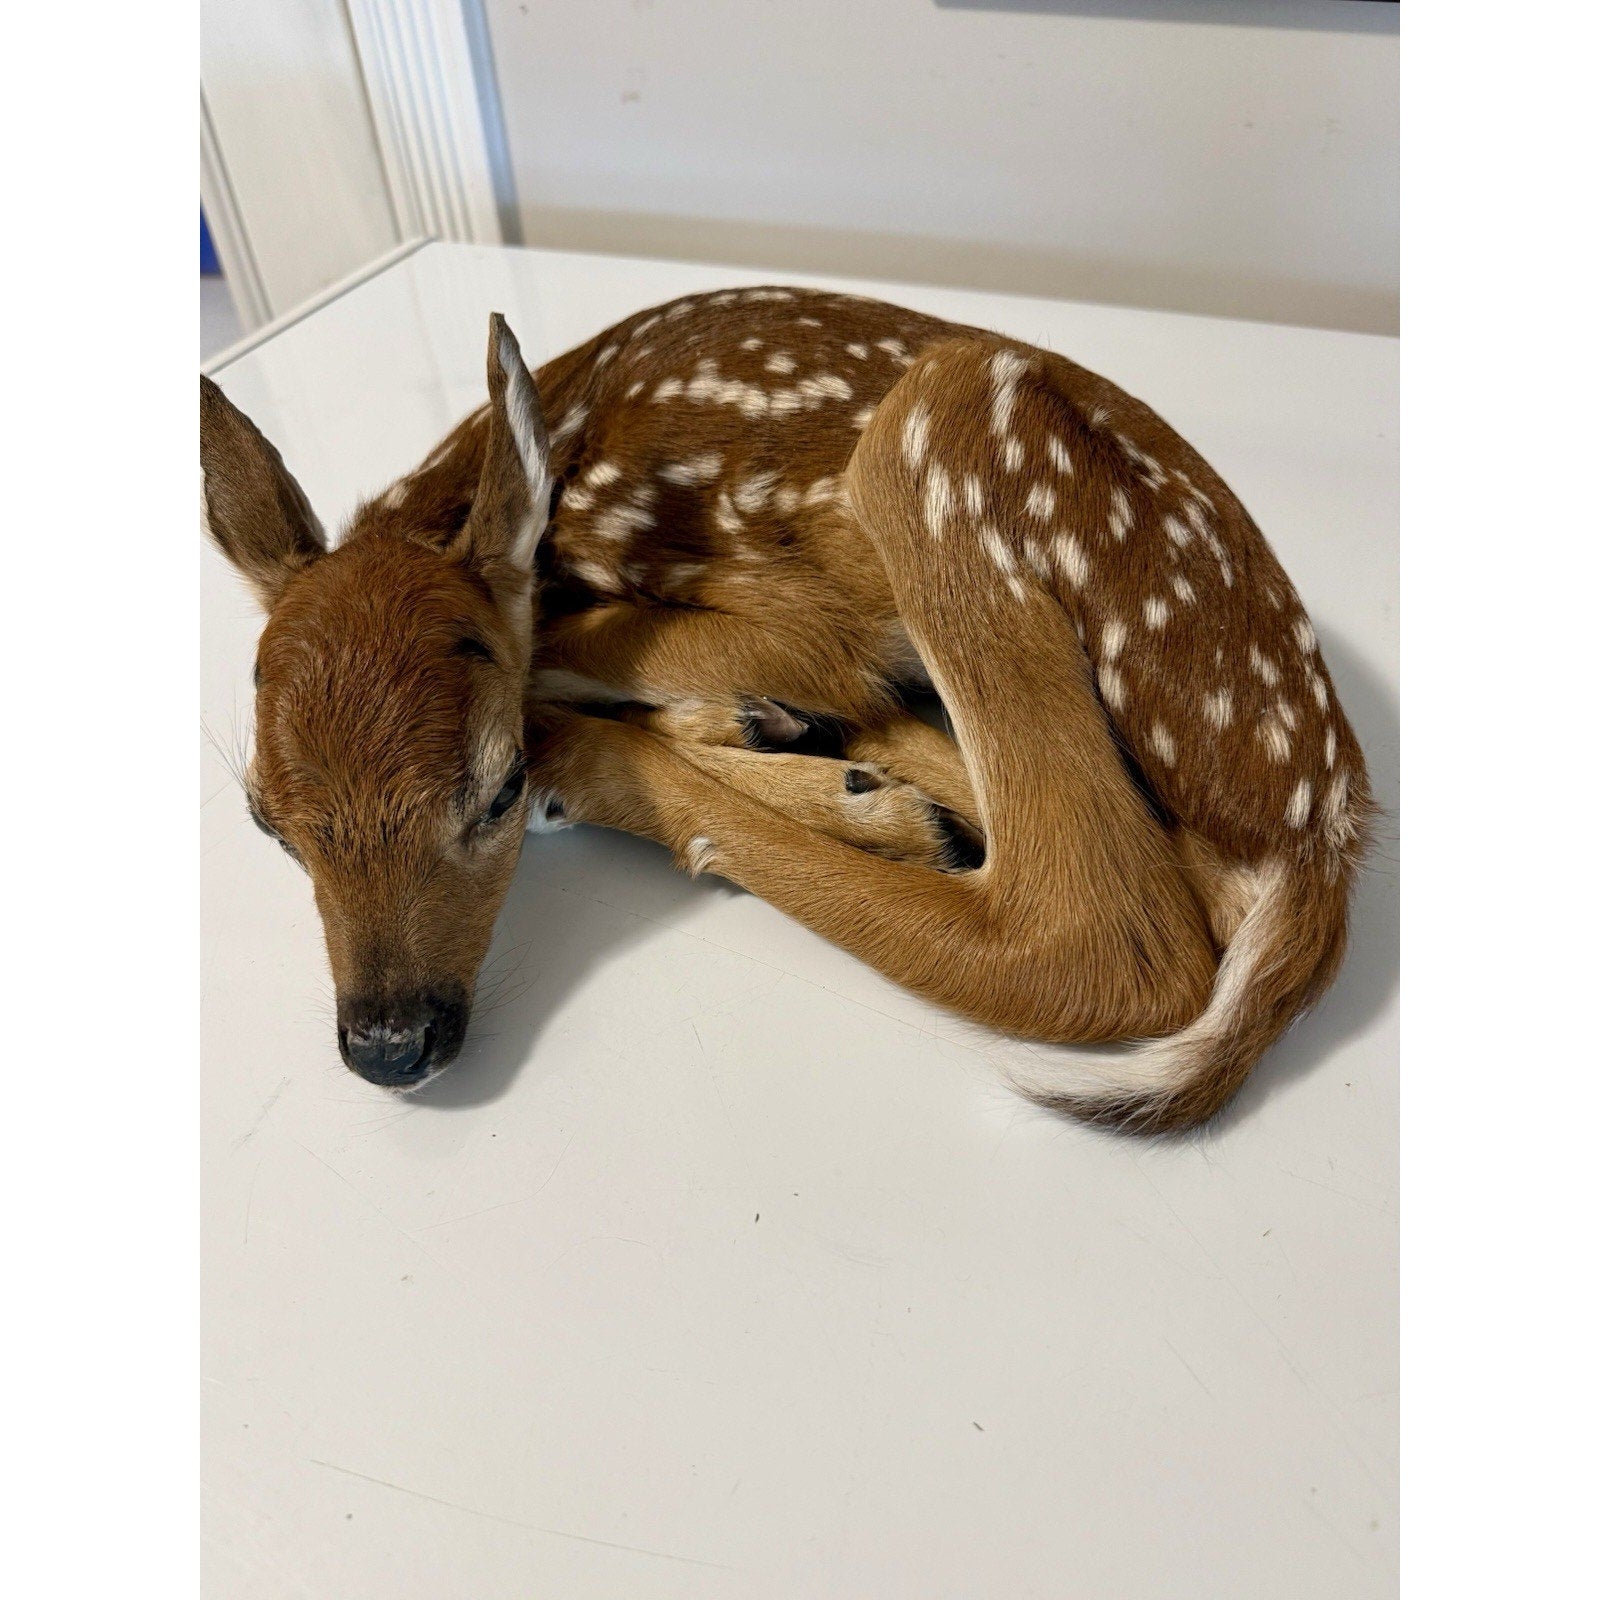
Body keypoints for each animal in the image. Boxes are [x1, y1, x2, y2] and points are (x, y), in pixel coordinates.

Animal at [200, 284, 1371, 1132]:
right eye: (268, 823)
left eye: (493, 794)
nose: (389, 1044)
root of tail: (1324, 829)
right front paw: (779, 738)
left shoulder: (806, 619)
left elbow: (572, 658)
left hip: (939, 431)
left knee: (1100, 936)